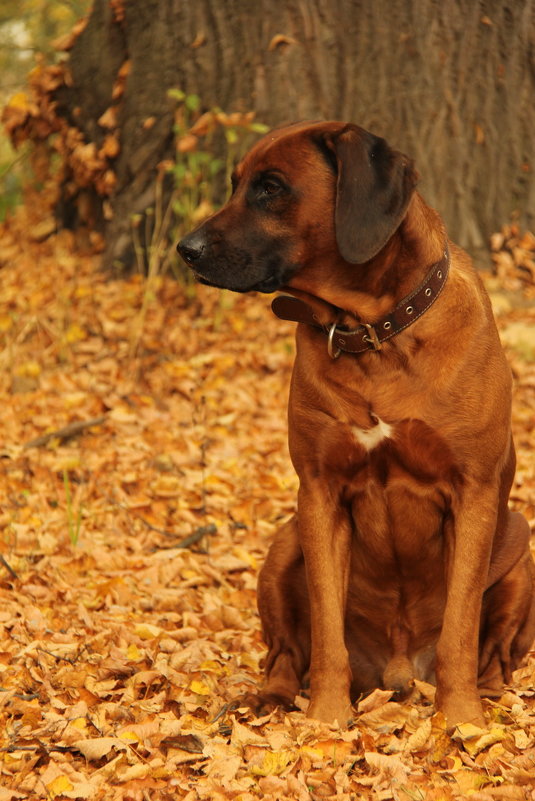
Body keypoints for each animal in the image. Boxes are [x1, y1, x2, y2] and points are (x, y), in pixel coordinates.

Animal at [180, 120, 535, 732]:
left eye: (271, 188)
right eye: (235, 184)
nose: (186, 249)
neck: (374, 333)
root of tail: (397, 670)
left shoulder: (474, 492)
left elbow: (461, 628)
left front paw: (460, 719)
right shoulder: (320, 492)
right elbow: (326, 632)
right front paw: (326, 718)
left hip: (519, 542)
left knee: (493, 653)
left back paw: (487, 697)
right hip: (284, 544)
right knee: (284, 653)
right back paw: (270, 699)